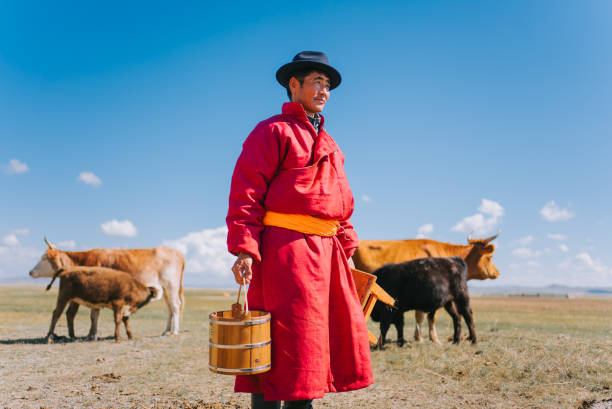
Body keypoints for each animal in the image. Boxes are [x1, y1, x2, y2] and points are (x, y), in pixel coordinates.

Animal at [352, 231, 500, 342]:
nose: (497, 273)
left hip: (458, 297)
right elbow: (417, 319)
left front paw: (425, 338)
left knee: (466, 315)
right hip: (454, 299)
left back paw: (470, 340)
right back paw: (459, 340)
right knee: (460, 316)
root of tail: (455, 260)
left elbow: (423, 318)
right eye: (490, 257)